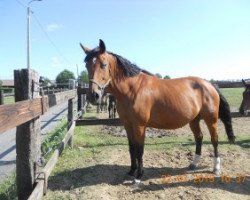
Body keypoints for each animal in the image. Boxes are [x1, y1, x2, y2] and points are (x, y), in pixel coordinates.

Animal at [79, 39, 234, 184]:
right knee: (199, 137)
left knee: (214, 140)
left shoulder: (140, 126)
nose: (93, 95)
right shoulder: (127, 125)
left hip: (211, 119)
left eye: (103, 64)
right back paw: (193, 164)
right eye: (87, 65)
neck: (132, 89)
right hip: (194, 120)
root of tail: (209, 84)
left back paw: (216, 168)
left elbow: (139, 150)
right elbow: (131, 148)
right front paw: (131, 171)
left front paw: (139, 176)